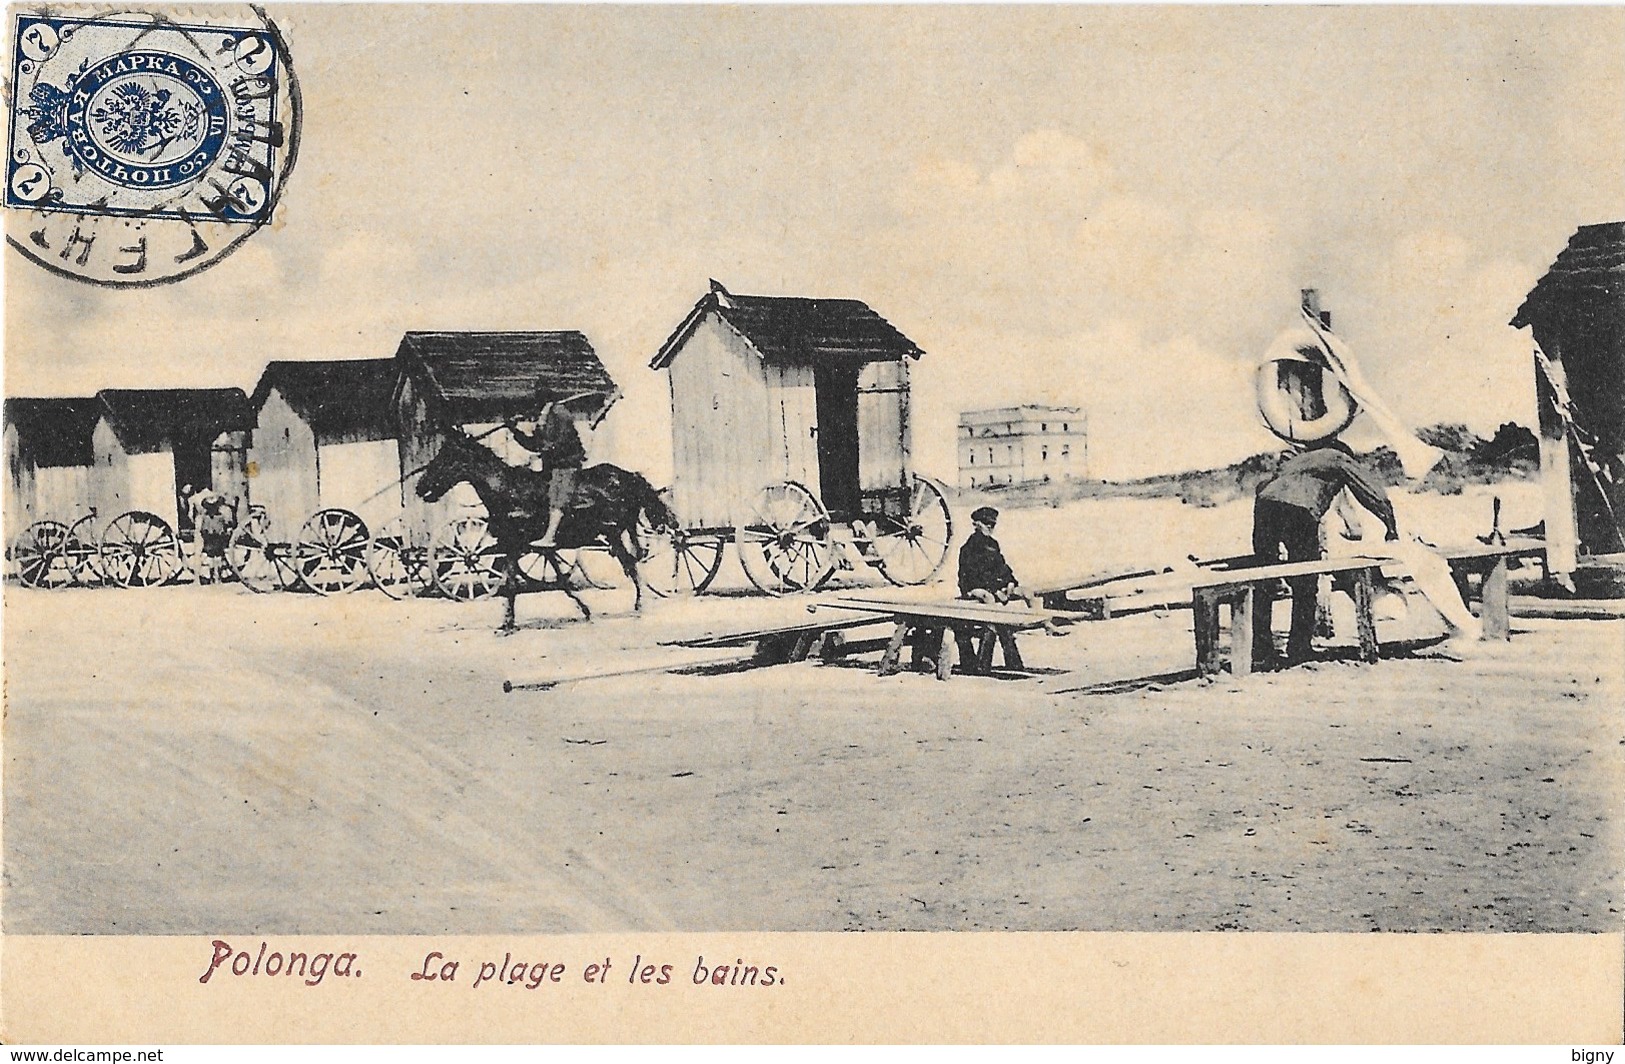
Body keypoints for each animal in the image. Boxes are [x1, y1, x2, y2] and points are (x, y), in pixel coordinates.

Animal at [419, 428, 679, 633]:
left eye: (446, 458)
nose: (420, 487)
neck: (509, 493)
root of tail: (629, 476)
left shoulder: (515, 546)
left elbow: (512, 585)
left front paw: (508, 624)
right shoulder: (533, 548)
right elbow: (559, 580)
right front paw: (584, 609)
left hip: (615, 532)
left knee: (633, 561)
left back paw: (641, 603)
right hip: (615, 534)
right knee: (632, 561)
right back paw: (639, 601)